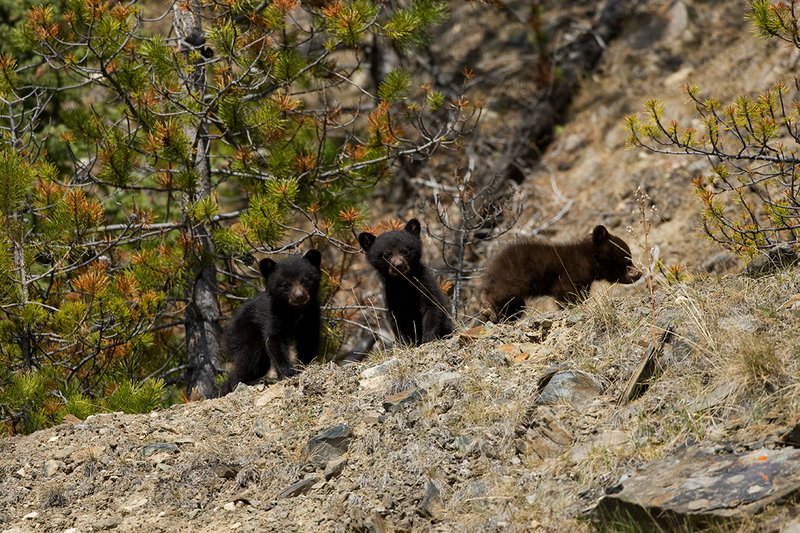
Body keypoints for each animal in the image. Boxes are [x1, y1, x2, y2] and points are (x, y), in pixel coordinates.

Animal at [220, 250, 322, 395]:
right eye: (285, 285)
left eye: (306, 280)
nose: (299, 296)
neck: (294, 312)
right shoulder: (273, 316)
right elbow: (274, 341)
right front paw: (288, 373)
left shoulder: (311, 315)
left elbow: (309, 340)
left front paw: (304, 366)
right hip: (245, 332)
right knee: (248, 359)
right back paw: (243, 383)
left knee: (259, 364)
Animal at [480, 225, 641, 322]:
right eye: (627, 259)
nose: (639, 273)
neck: (588, 259)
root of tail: (491, 264)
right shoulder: (570, 272)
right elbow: (566, 291)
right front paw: (572, 305)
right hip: (515, 275)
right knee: (500, 291)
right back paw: (487, 309)